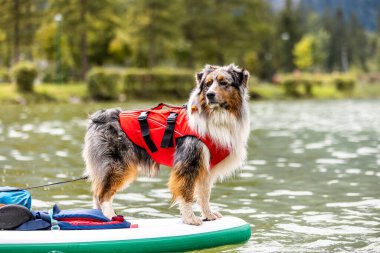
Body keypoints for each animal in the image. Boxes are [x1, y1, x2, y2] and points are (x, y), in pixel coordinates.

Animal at [81, 63, 251, 225]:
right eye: (207, 85)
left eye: (223, 83)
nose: (210, 95)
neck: (217, 116)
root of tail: (99, 117)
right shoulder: (189, 161)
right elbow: (186, 192)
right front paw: (190, 219)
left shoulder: (205, 166)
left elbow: (204, 194)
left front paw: (208, 215)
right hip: (118, 165)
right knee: (103, 194)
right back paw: (111, 217)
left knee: (98, 194)